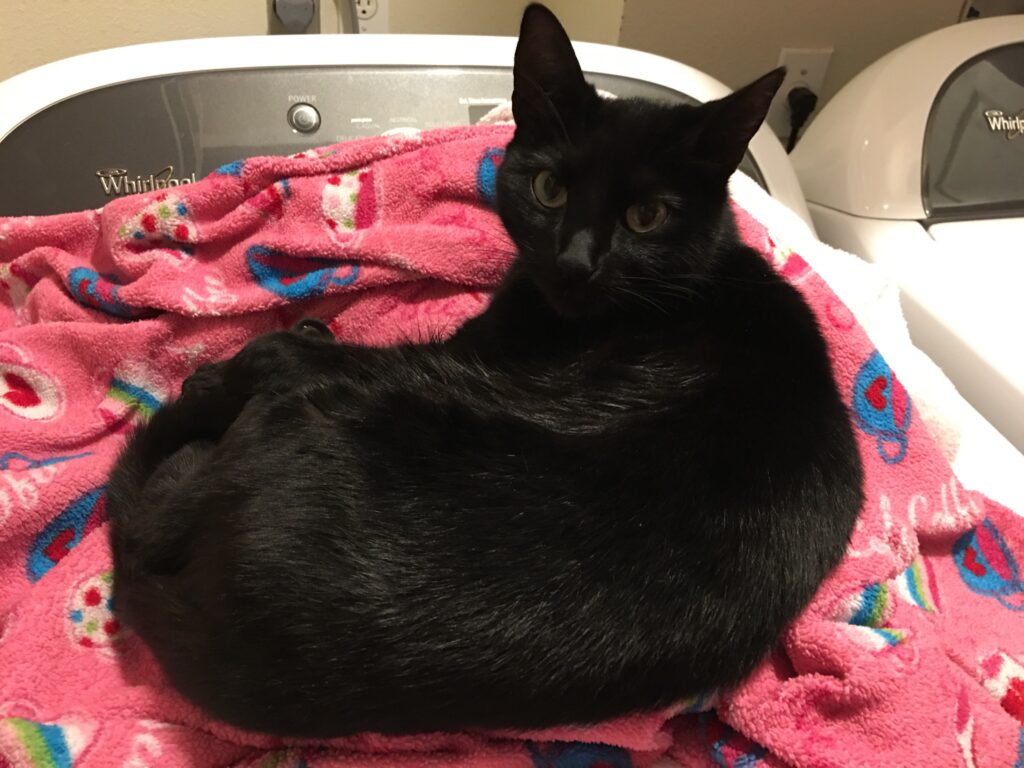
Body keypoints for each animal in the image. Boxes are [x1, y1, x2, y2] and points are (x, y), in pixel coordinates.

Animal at [107, 3, 864, 738]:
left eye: (646, 215)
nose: (575, 262)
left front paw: (247, 359)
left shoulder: (461, 352)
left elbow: (279, 353)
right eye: (550, 189)